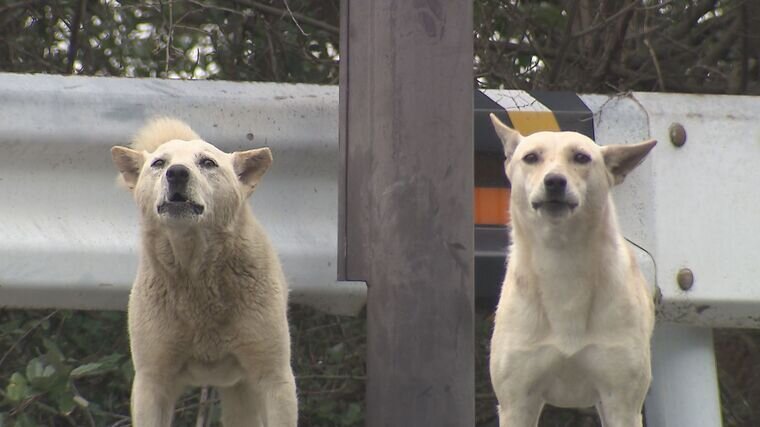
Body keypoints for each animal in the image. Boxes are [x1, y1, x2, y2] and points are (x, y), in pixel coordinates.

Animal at [490, 113, 656, 427]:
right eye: (531, 158)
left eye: (581, 157)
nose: (555, 181)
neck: (562, 261)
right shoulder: (516, 402)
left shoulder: (622, 402)